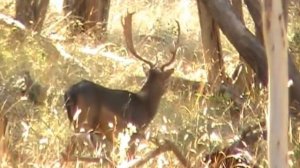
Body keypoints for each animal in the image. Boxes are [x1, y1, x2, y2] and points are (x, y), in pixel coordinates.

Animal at [62, 12, 188, 167]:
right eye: (166, 81)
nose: (169, 88)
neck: (146, 107)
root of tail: (70, 93)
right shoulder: (134, 134)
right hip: (84, 122)